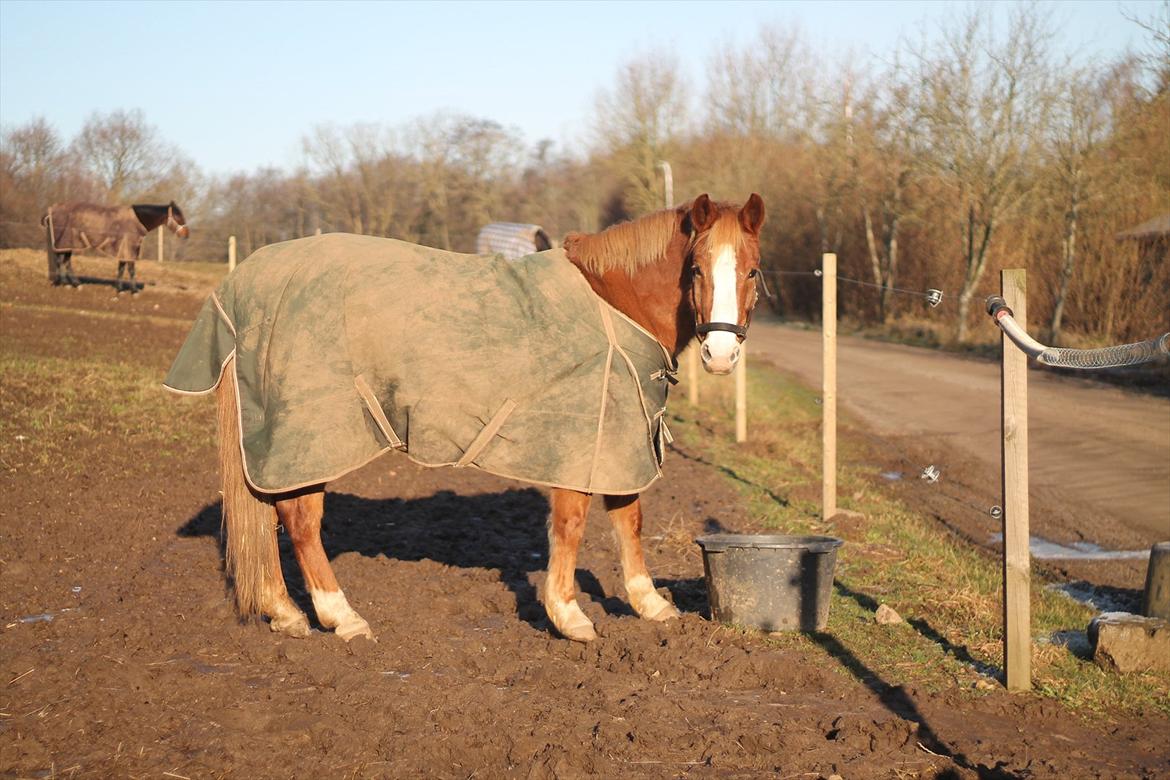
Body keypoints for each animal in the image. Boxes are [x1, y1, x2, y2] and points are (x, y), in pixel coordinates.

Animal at [43, 203, 189, 294]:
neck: (137, 221)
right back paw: (65, 283)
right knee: (61, 261)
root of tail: (52, 210)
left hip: (70, 243)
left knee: (65, 261)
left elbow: (121, 269)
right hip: (66, 242)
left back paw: (74, 284)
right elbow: (131, 270)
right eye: (178, 217)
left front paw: (120, 289)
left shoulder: (123, 249)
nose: (186, 234)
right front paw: (133, 291)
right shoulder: (129, 248)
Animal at [216, 191, 767, 645]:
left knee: (269, 512)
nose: (720, 355)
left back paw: (285, 612)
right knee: (301, 520)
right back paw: (341, 617)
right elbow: (571, 524)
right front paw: (569, 616)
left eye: (753, 270)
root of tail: (245, 283)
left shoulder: (617, 436)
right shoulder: (581, 439)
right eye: (695, 269)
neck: (613, 303)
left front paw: (650, 604)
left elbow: (628, 517)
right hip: (311, 438)